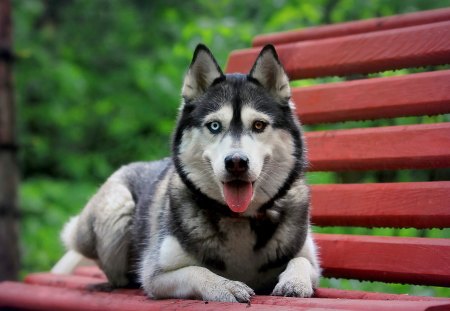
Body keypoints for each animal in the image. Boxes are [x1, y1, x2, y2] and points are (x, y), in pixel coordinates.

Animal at [58, 44, 322, 302]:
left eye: (259, 125)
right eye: (214, 126)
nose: (236, 162)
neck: (239, 218)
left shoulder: (310, 258)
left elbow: (300, 260)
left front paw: (294, 281)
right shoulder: (156, 274)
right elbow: (197, 270)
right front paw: (224, 286)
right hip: (117, 207)